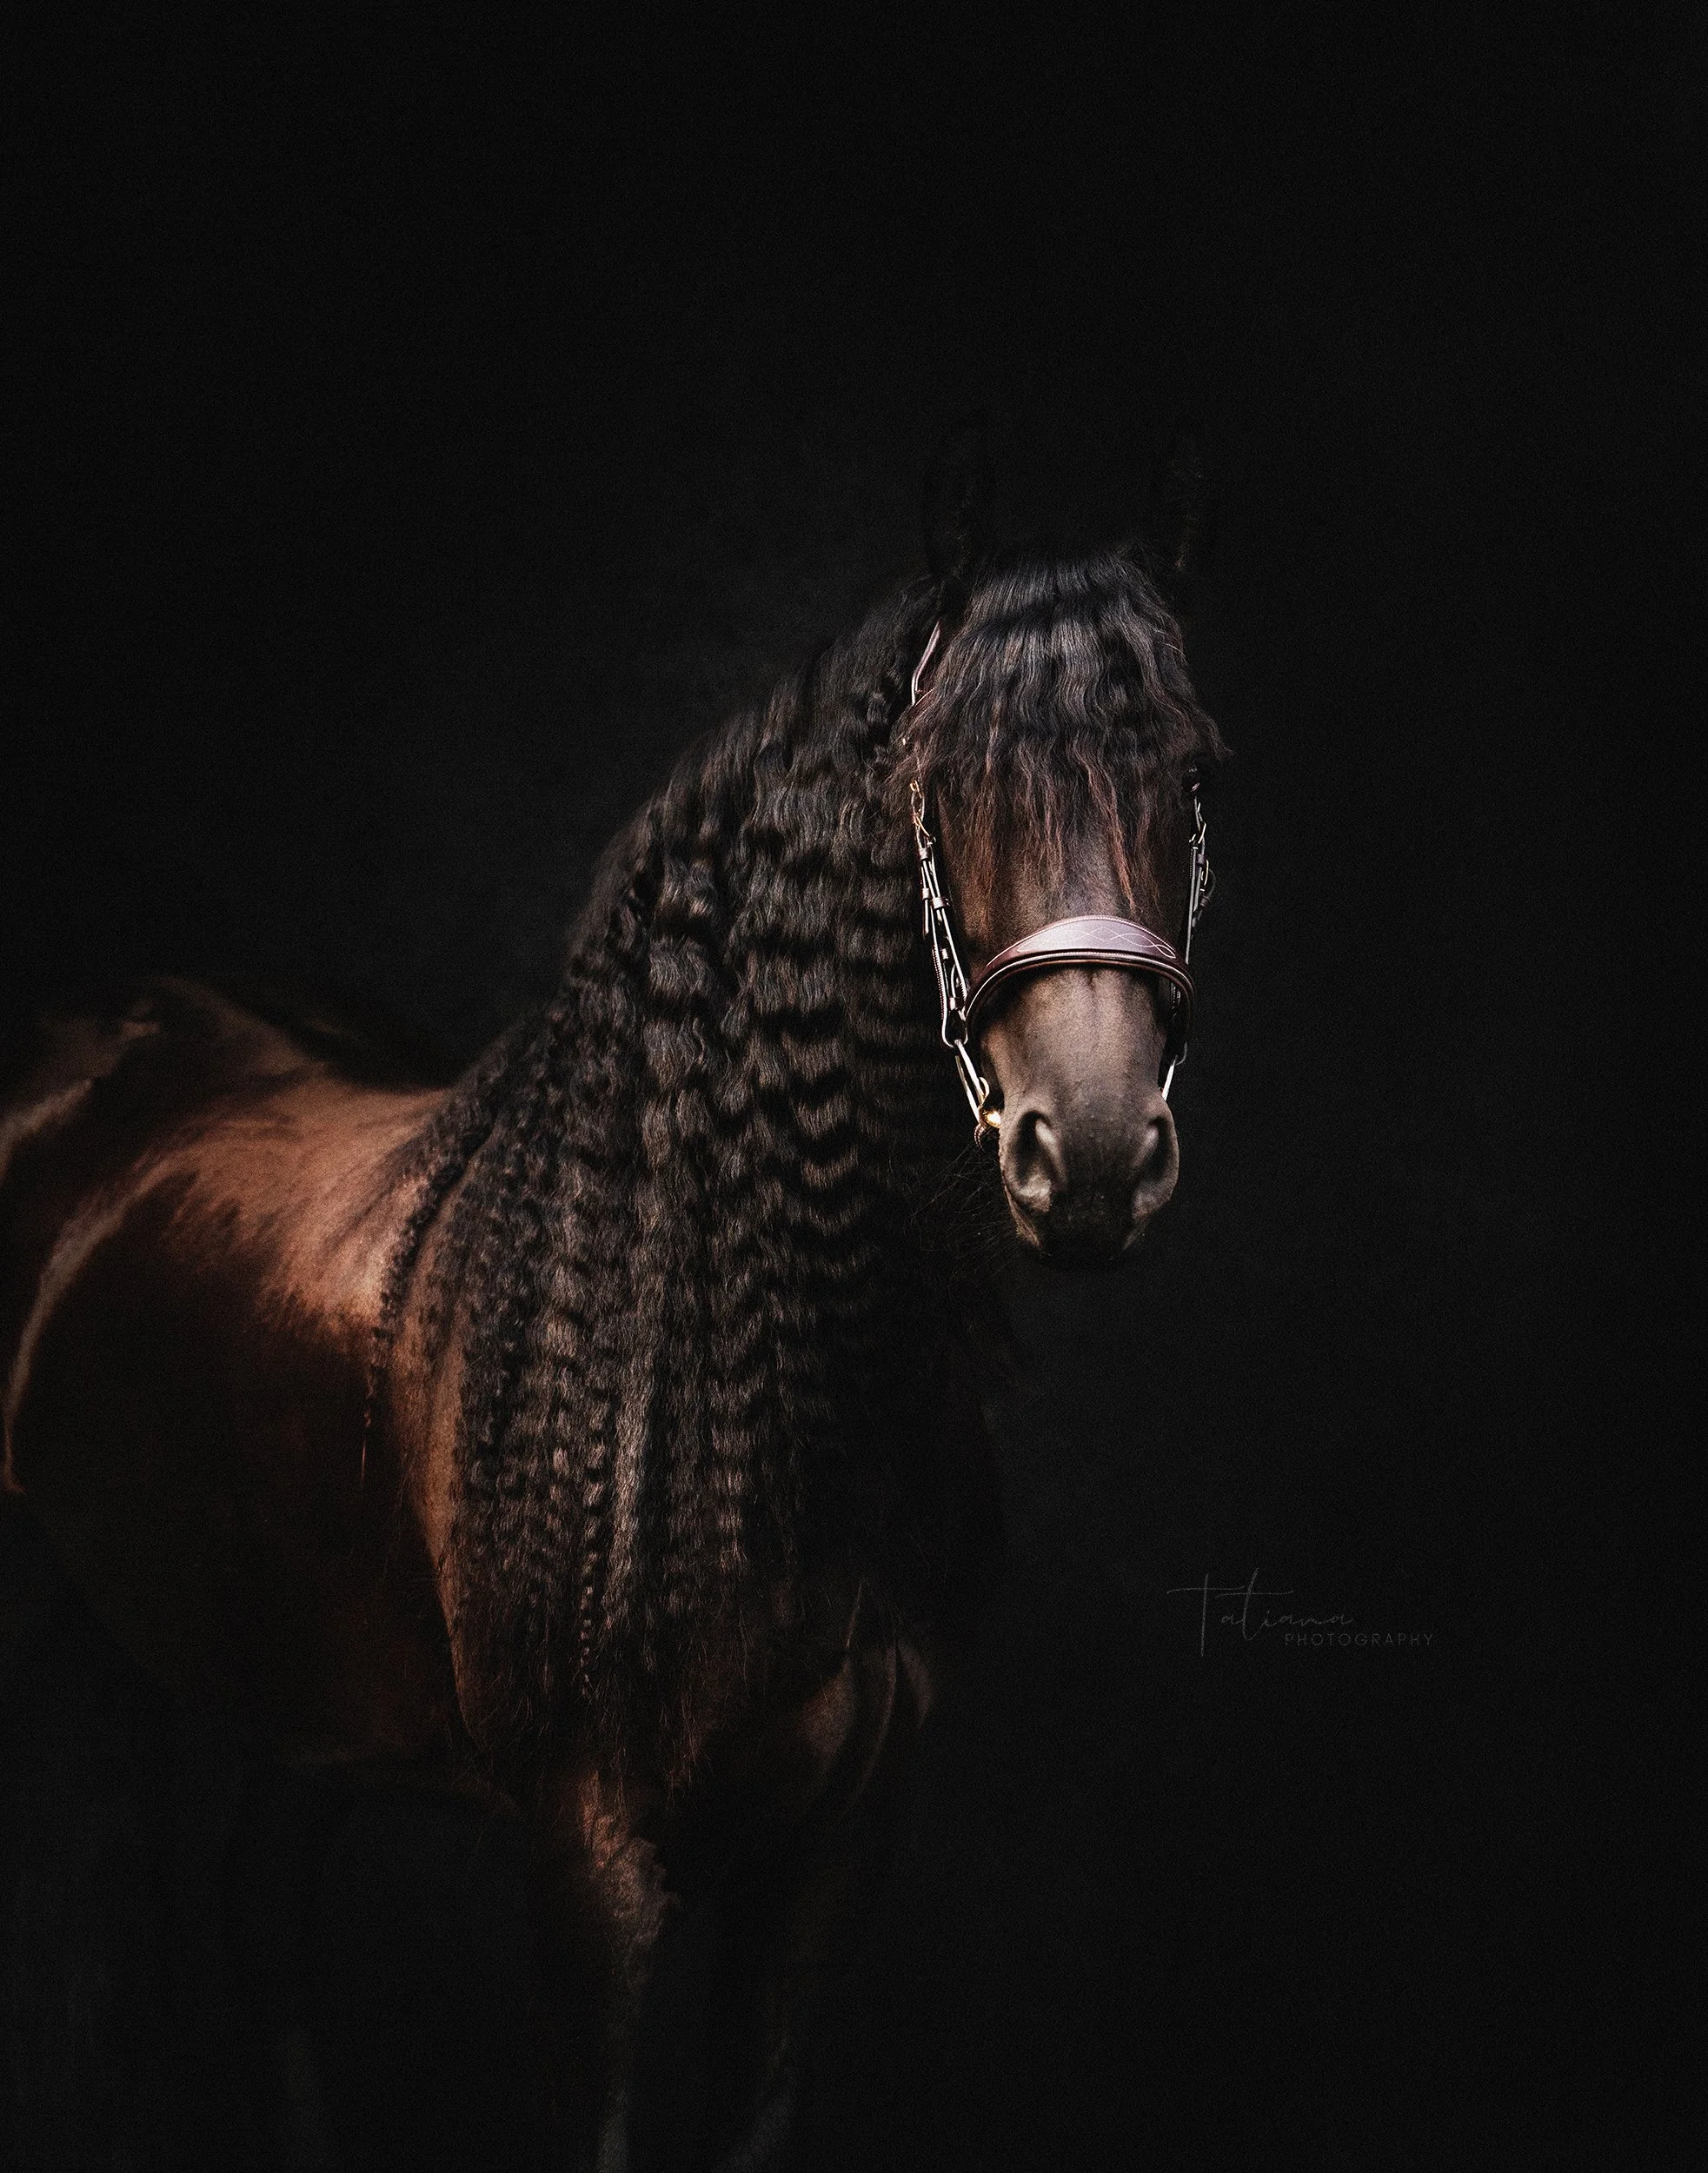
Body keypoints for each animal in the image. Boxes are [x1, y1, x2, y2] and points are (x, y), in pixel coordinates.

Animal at [0, 464, 1226, 2170]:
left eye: (1190, 775)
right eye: (940, 789)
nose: (1095, 1151)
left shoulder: (832, 1861)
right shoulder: (593, 1870)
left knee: (260, 1912)